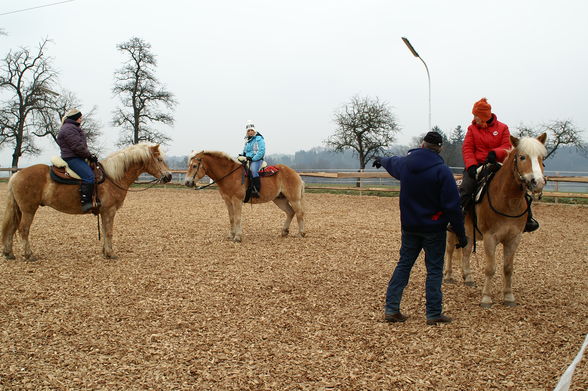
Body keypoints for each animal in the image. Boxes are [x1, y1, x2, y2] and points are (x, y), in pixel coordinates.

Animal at [1, 143, 172, 260]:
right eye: (159, 159)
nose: (169, 176)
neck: (112, 177)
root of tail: (17, 175)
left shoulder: (104, 212)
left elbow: (104, 230)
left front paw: (105, 252)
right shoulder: (109, 210)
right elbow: (109, 231)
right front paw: (110, 253)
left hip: (20, 209)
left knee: (12, 228)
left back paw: (9, 253)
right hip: (28, 209)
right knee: (23, 229)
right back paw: (29, 255)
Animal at [446, 135, 548, 310]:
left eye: (542, 158)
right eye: (522, 157)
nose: (538, 182)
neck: (507, 200)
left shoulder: (514, 238)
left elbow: (508, 268)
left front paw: (508, 296)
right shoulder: (490, 237)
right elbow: (490, 268)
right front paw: (486, 298)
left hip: (468, 232)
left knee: (466, 252)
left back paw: (468, 277)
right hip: (451, 231)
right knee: (450, 250)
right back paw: (448, 276)